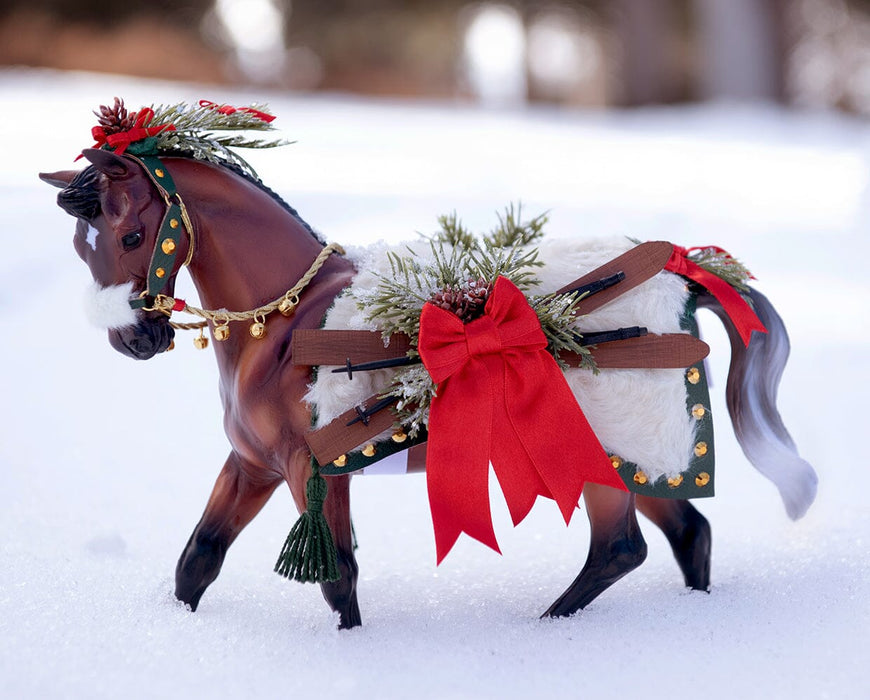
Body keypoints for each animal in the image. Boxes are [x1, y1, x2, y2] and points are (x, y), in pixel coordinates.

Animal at [41, 131, 816, 628]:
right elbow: (197, 560)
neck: (285, 322)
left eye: (132, 235)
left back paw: (547, 626)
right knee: (688, 534)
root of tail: (681, 273)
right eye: (80, 248)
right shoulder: (252, 463)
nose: (133, 339)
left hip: (602, 455)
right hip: (639, 458)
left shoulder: (311, 468)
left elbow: (338, 580)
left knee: (621, 547)